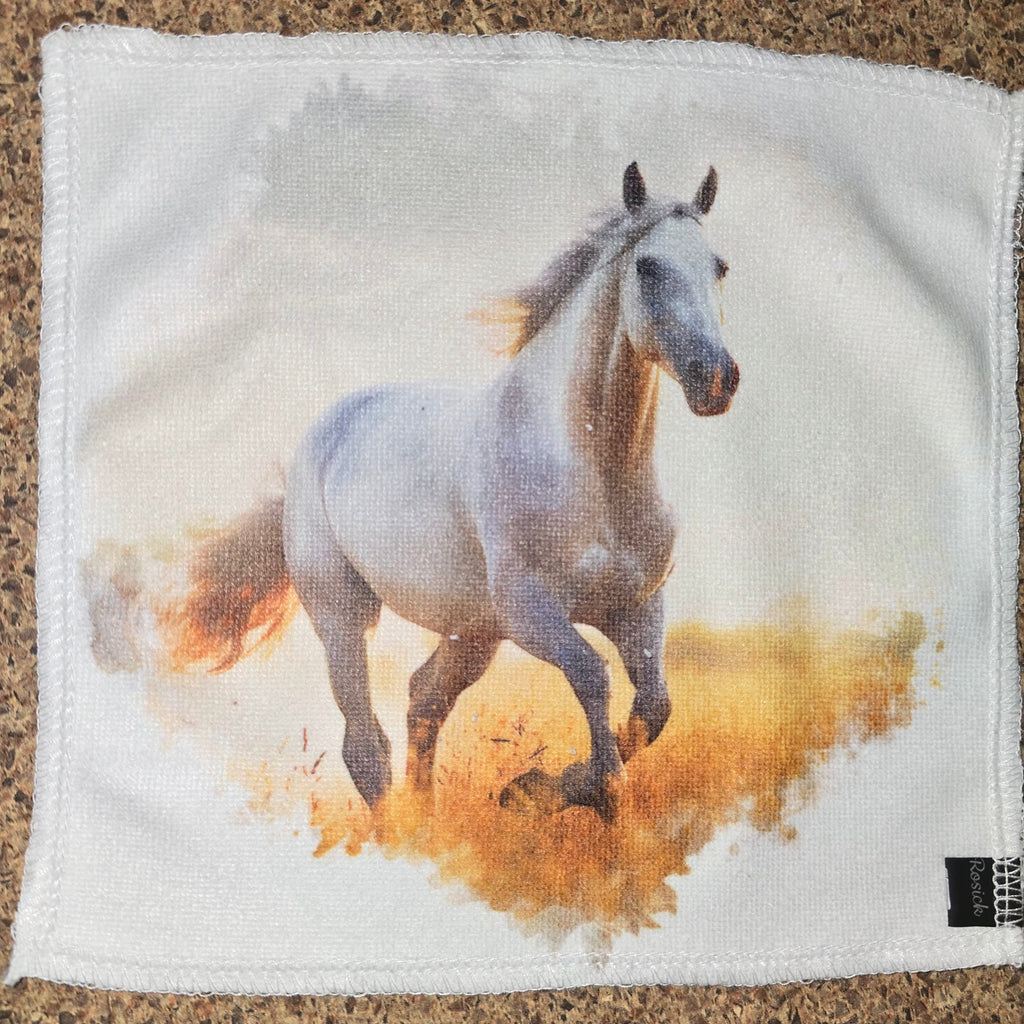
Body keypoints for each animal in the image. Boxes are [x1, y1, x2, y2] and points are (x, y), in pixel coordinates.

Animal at [169, 163, 738, 821]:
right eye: (647, 266)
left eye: (720, 266)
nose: (718, 379)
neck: (595, 473)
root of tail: (319, 440)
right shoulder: (531, 610)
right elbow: (594, 677)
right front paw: (573, 791)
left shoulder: (639, 607)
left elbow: (654, 708)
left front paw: (540, 787)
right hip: (345, 617)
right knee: (364, 742)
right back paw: (402, 833)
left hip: (472, 633)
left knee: (423, 702)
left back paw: (433, 825)